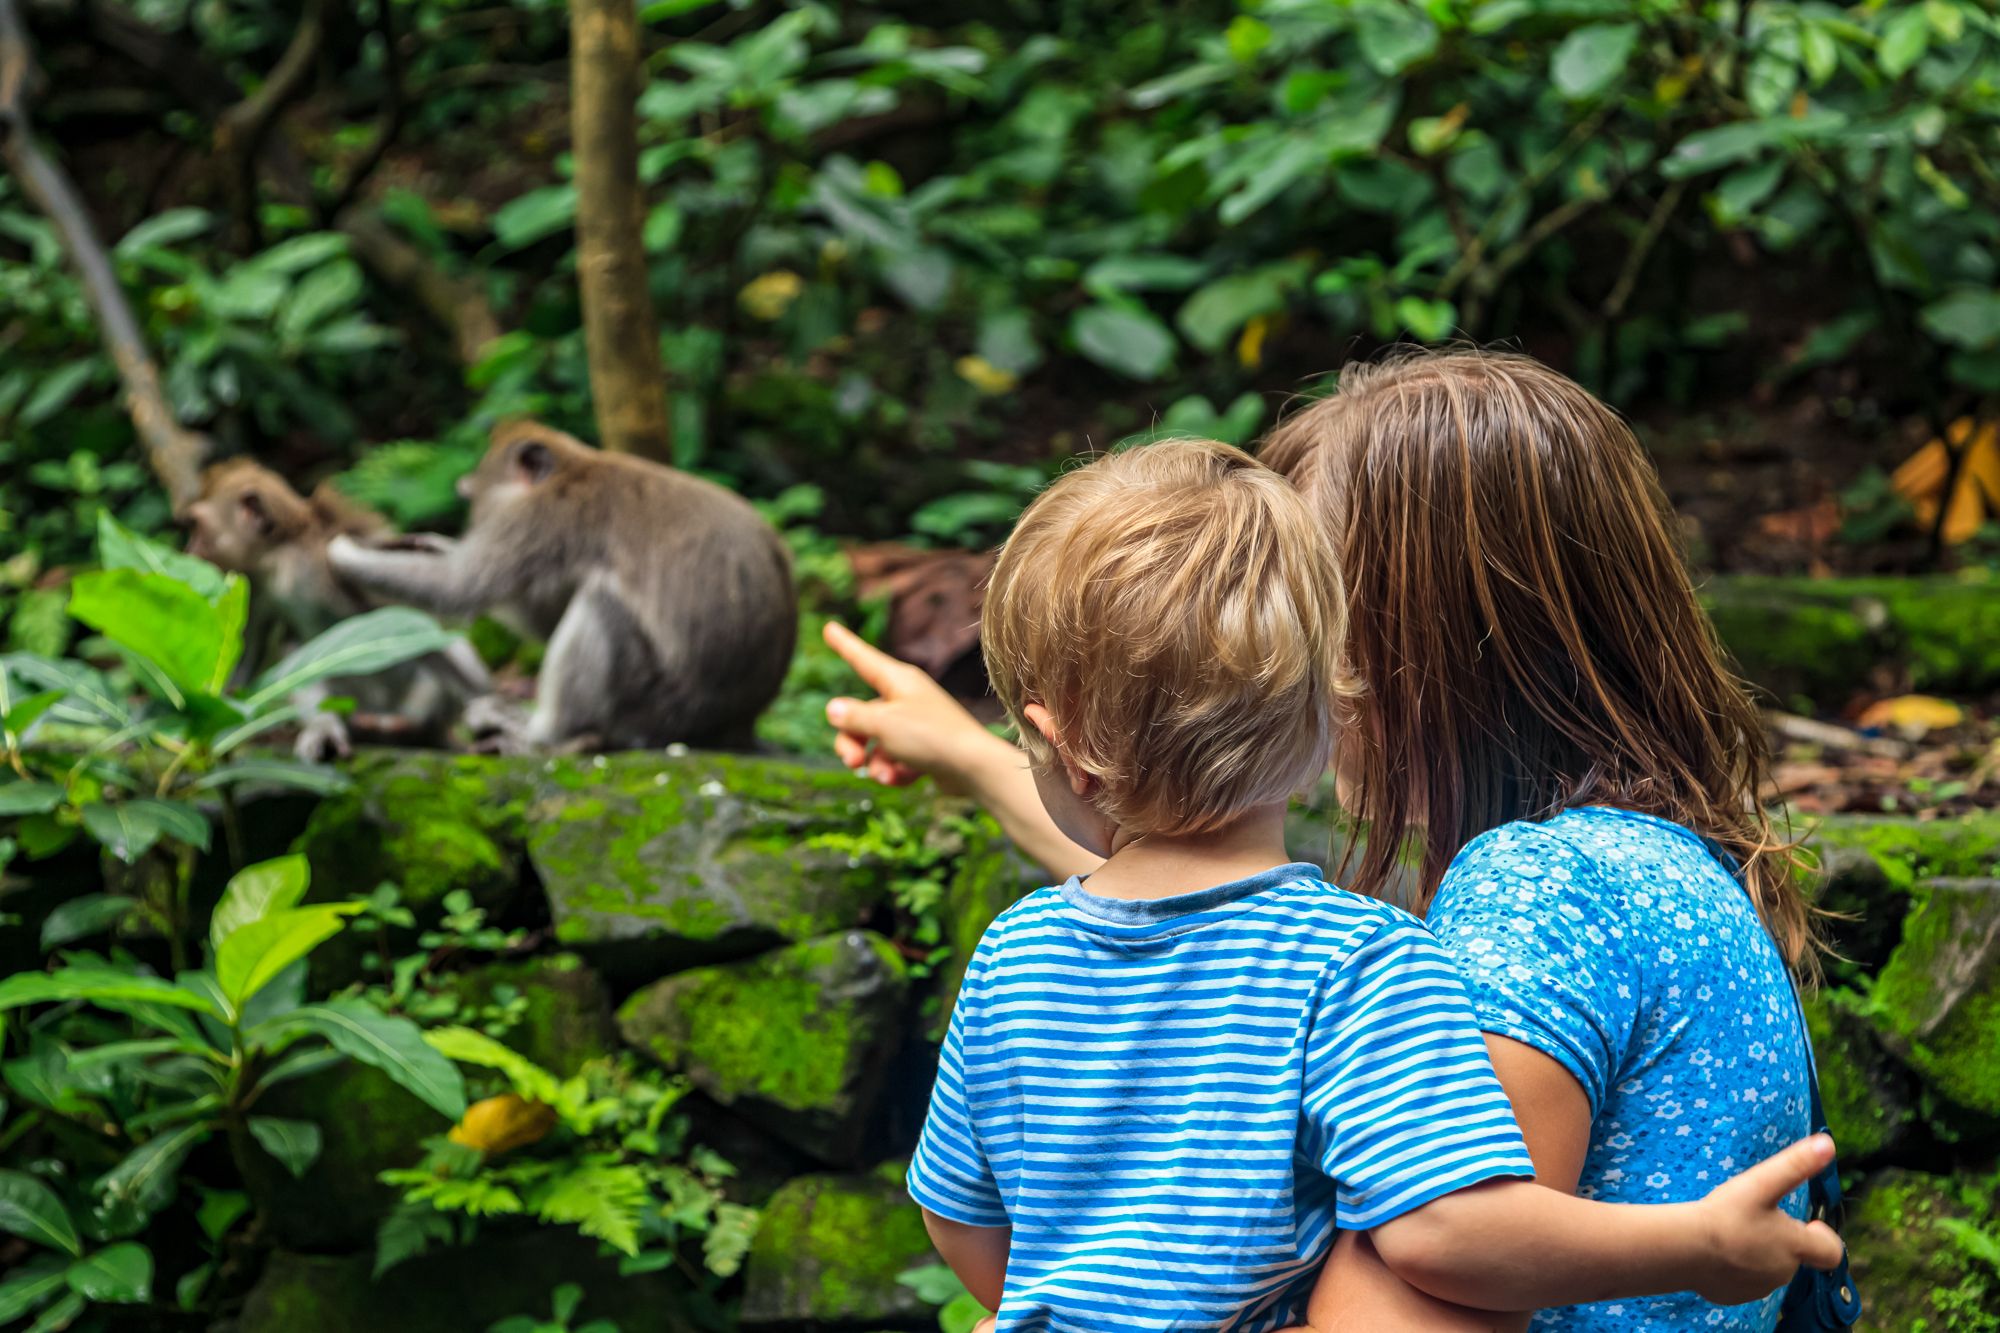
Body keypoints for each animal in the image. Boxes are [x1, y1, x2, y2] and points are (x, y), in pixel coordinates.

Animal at [182, 456, 494, 756]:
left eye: (197, 525)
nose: (189, 549)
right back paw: (328, 727)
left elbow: (423, 620)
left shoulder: (331, 557)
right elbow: (249, 648)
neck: (281, 560)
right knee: (297, 651)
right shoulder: (257, 586)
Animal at [328, 422, 796, 748]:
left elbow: (463, 586)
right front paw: (427, 543)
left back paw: (543, 734)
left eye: (475, 497)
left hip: (656, 712)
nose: (472, 519)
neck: (573, 466)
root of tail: (737, 725)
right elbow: (539, 615)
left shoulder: (541, 519)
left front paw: (345, 554)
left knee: (601, 604)